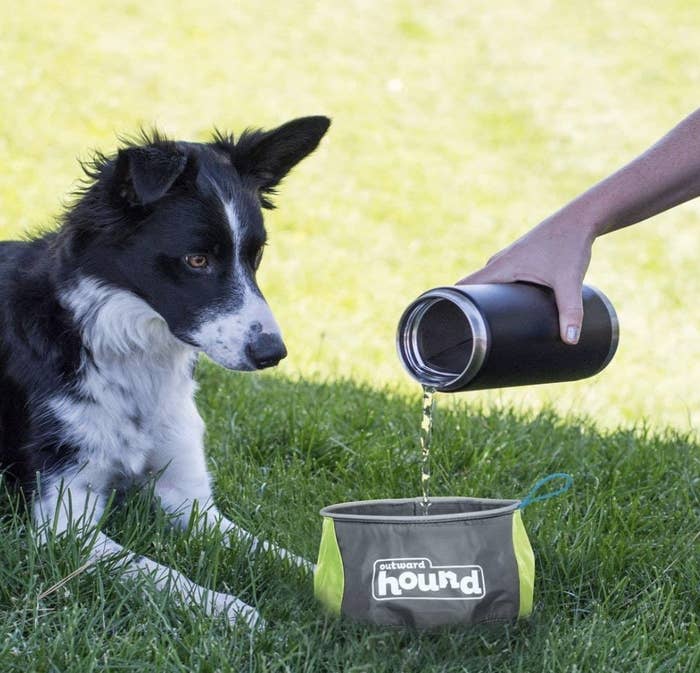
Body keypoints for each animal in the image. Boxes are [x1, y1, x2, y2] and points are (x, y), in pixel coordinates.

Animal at [0, 114, 330, 624]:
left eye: (255, 255)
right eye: (197, 259)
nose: (273, 353)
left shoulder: (190, 499)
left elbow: (276, 552)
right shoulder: (61, 521)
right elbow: (157, 570)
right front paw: (231, 609)